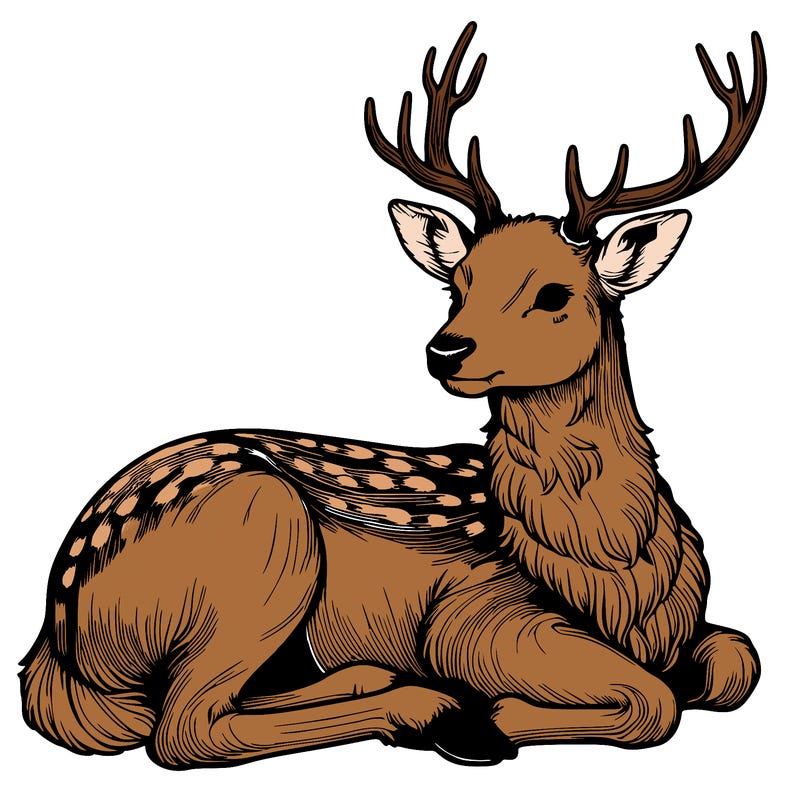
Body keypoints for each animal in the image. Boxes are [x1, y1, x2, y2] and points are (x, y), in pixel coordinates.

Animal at [20, 22, 765, 769]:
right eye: (459, 282)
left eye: (554, 293)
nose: (446, 349)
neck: (615, 574)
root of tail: (53, 641)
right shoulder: (475, 614)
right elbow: (654, 701)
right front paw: (492, 716)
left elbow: (738, 660)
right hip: (265, 541)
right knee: (182, 728)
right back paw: (433, 711)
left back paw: (378, 679)